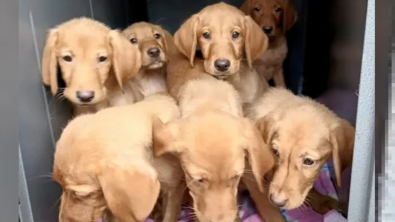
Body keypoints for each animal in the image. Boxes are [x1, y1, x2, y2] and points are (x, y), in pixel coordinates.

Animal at [244, 87, 356, 221]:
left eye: (309, 161)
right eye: (275, 152)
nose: (277, 202)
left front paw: (322, 201)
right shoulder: (254, 182)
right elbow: (270, 211)